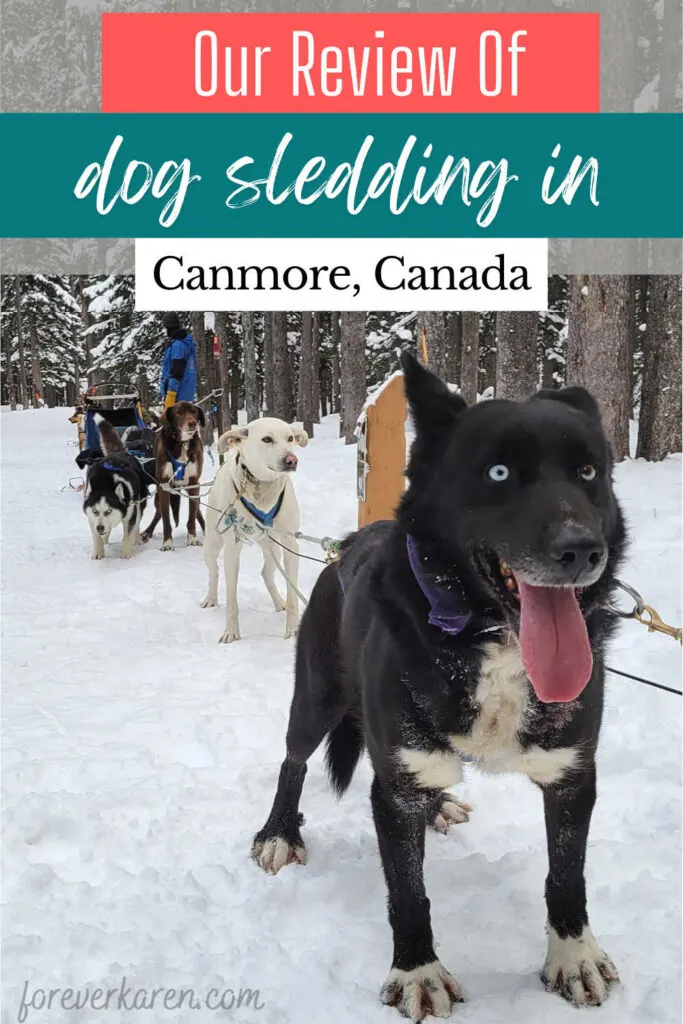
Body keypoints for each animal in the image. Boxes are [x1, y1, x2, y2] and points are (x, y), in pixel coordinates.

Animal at [141, 399, 205, 552]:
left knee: (197, 511)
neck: (182, 445)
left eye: (194, 412)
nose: (192, 423)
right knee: (158, 513)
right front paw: (167, 544)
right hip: (159, 495)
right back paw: (147, 532)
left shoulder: (194, 484)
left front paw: (192, 540)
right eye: (179, 412)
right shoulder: (164, 485)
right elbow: (166, 520)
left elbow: (192, 517)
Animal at [201, 415, 309, 638]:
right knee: (214, 571)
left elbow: (293, 595)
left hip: (275, 547)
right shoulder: (232, 548)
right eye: (267, 439)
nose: (292, 460)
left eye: (290, 438)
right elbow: (232, 600)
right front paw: (231, 632)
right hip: (212, 543)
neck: (263, 488)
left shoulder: (290, 544)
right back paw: (211, 598)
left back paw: (279, 602)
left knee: (267, 573)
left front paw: (292, 629)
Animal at [253, 352, 626, 1015]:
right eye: (498, 472)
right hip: (317, 699)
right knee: (292, 761)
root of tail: (346, 545)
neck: (487, 644)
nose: (583, 550)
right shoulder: (395, 790)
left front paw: (573, 955)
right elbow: (408, 893)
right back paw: (278, 833)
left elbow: (565, 875)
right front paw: (417, 972)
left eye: (589, 472)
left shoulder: (573, 776)